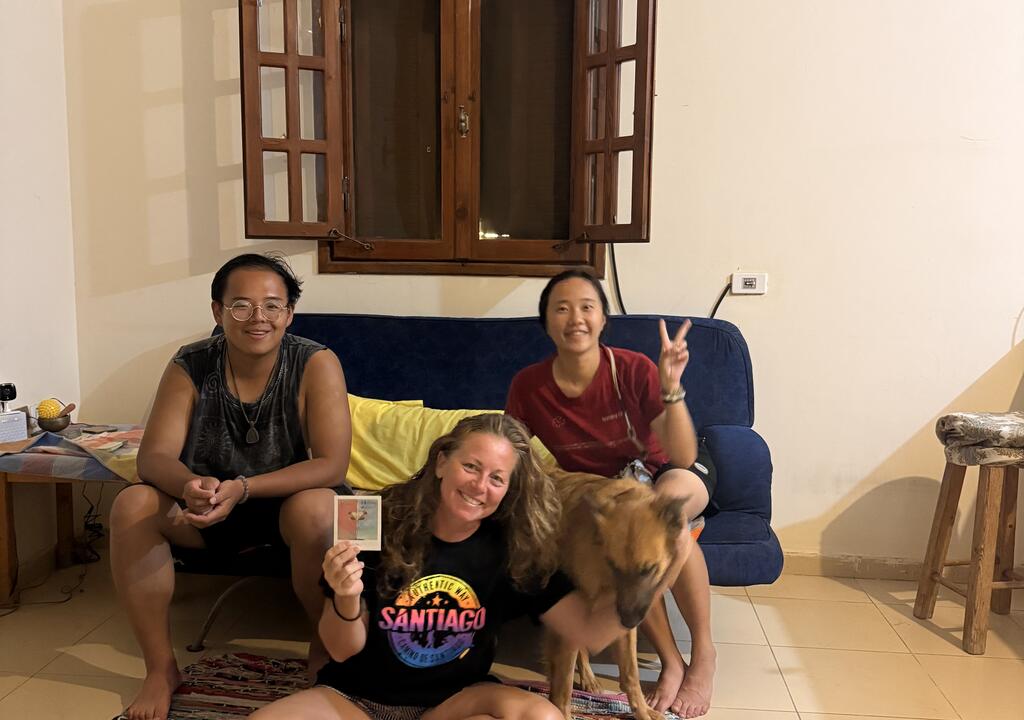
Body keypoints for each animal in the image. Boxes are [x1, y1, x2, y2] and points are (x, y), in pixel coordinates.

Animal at [545, 468, 687, 720]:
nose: (628, 620)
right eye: (614, 566)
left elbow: (631, 675)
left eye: (649, 569)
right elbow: (564, 688)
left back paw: (588, 678)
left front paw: (644, 712)